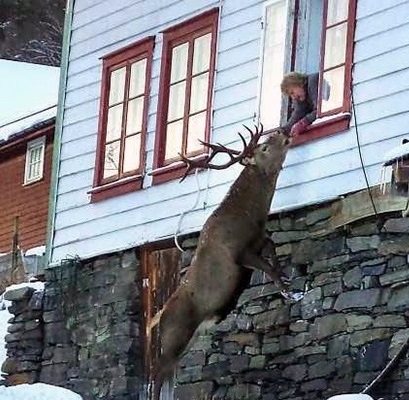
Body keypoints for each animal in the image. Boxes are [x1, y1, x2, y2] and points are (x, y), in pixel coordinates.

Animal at [148, 126, 294, 400]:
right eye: (264, 147)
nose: (283, 131)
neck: (250, 217)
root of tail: (158, 318)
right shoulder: (239, 254)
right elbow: (267, 267)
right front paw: (286, 290)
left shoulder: (259, 239)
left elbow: (272, 247)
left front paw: (286, 278)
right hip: (174, 337)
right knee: (156, 374)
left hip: (185, 341)